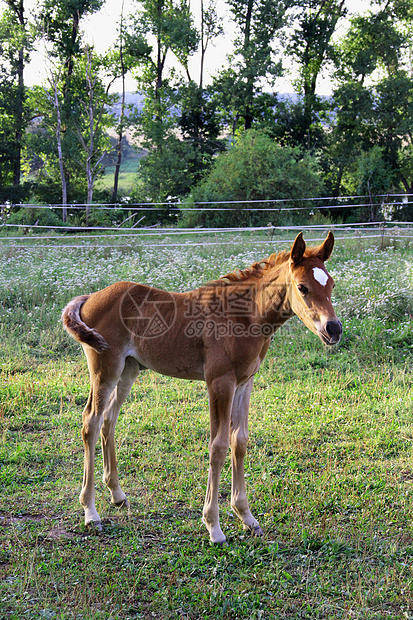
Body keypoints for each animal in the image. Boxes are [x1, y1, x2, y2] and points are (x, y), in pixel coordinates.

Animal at [60, 231, 338, 544]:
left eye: (331, 284)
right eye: (302, 287)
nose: (334, 329)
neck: (243, 317)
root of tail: (89, 297)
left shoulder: (245, 382)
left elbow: (239, 441)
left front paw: (247, 517)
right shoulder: (219, 382)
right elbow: (218, 447)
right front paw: (213, 526)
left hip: (128, 370)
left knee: (109, 419)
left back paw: (117, 494)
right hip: (104, 367)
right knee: (91, 422)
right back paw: (90, 512)